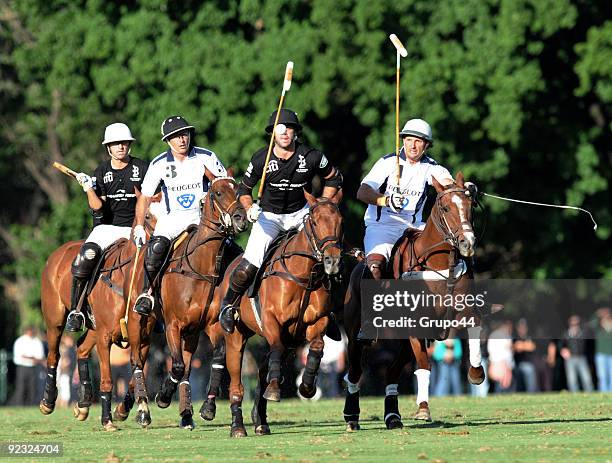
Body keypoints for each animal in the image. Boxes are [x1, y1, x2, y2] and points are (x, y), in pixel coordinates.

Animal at [122, 176, 249, 430]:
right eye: (218, 193)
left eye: (238, 190)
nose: (240, 217)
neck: (200, 267)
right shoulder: (173, 325)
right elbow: (178, 366)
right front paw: (163, 396)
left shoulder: (210, 326)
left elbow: (215, 360)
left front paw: (206, 408)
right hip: (137, 321)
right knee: (137, 360)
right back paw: (143, 410)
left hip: (184, 332)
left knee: (183, 367)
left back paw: (185, 414)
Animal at [216, 190, 346, 436]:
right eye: (315, 222)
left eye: (340, 222)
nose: (332, 261)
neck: (304, 276)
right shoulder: (271, 321)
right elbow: (275, 348)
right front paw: (276, 389)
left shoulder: (316, 322)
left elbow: (317, 347)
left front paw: (307, 387)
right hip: (235, 337)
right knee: (236, 383)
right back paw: (238, 425)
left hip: (291, 341)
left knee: (262, 371)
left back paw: (260, 420)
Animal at [344, 174, 482, 432]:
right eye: (445, 207)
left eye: (470, 206)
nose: (467, 243)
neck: (439, 262)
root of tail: (358, 263)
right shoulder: (416, 321)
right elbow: (425, 364)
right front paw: (423, 409)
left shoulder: (463, 307)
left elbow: (475, 327)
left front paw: (477, 373)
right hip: (355, 333)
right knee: (355, 371)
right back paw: (351, 417)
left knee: (391, 372)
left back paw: (392, 417)